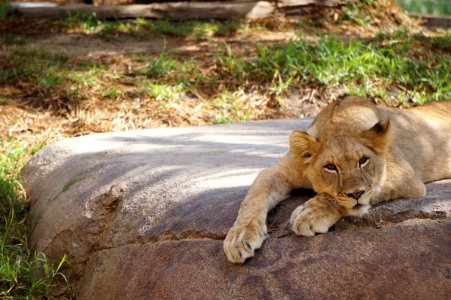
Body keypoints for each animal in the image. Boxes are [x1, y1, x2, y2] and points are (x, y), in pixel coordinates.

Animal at [223, 96, 451, 262]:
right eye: (331, 167)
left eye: (363, 160)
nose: (357, 193)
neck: (339, 122)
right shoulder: (277, 172)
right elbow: (252, 200)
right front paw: (238, 238)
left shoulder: (407, 175)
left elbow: (348, 194)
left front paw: (309, 214)